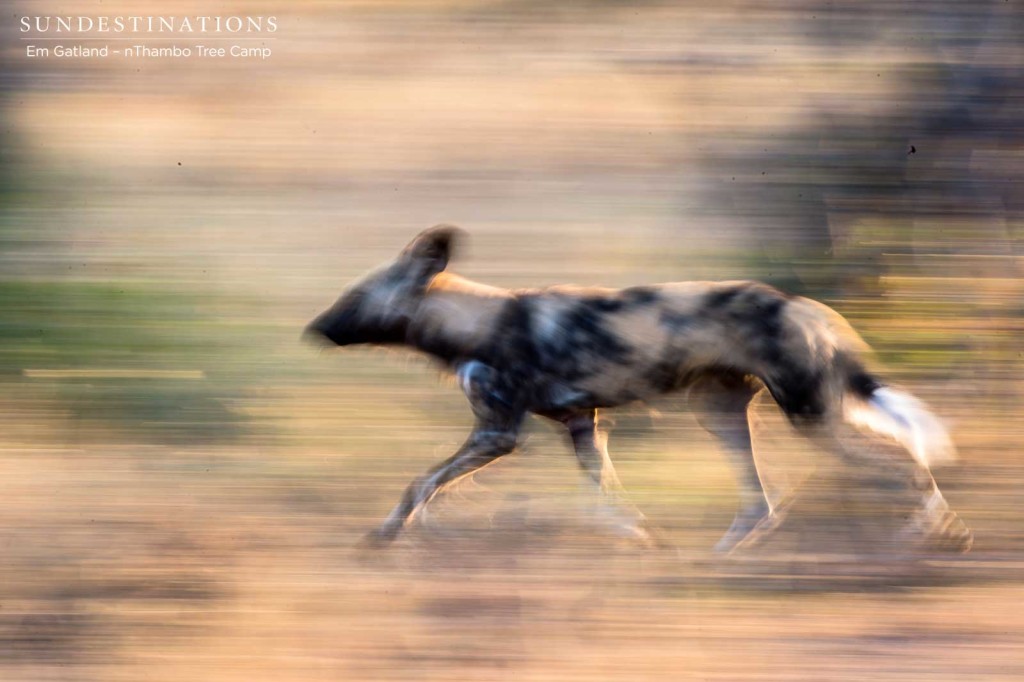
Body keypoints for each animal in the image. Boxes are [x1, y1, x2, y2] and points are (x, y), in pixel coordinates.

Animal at [305, 225, 974, 548]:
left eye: (353, 298)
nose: (314, 328)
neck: (474, 324)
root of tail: (805, 305)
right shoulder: (582, 426)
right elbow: (611, 498)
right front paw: (647, 541)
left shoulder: (497, 434)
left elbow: (420, 483)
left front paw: (384, 536)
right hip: (721, 412)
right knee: (760, 503)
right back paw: (714, 563)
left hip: (812, 418)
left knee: (903, 460)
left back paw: (940, 533)